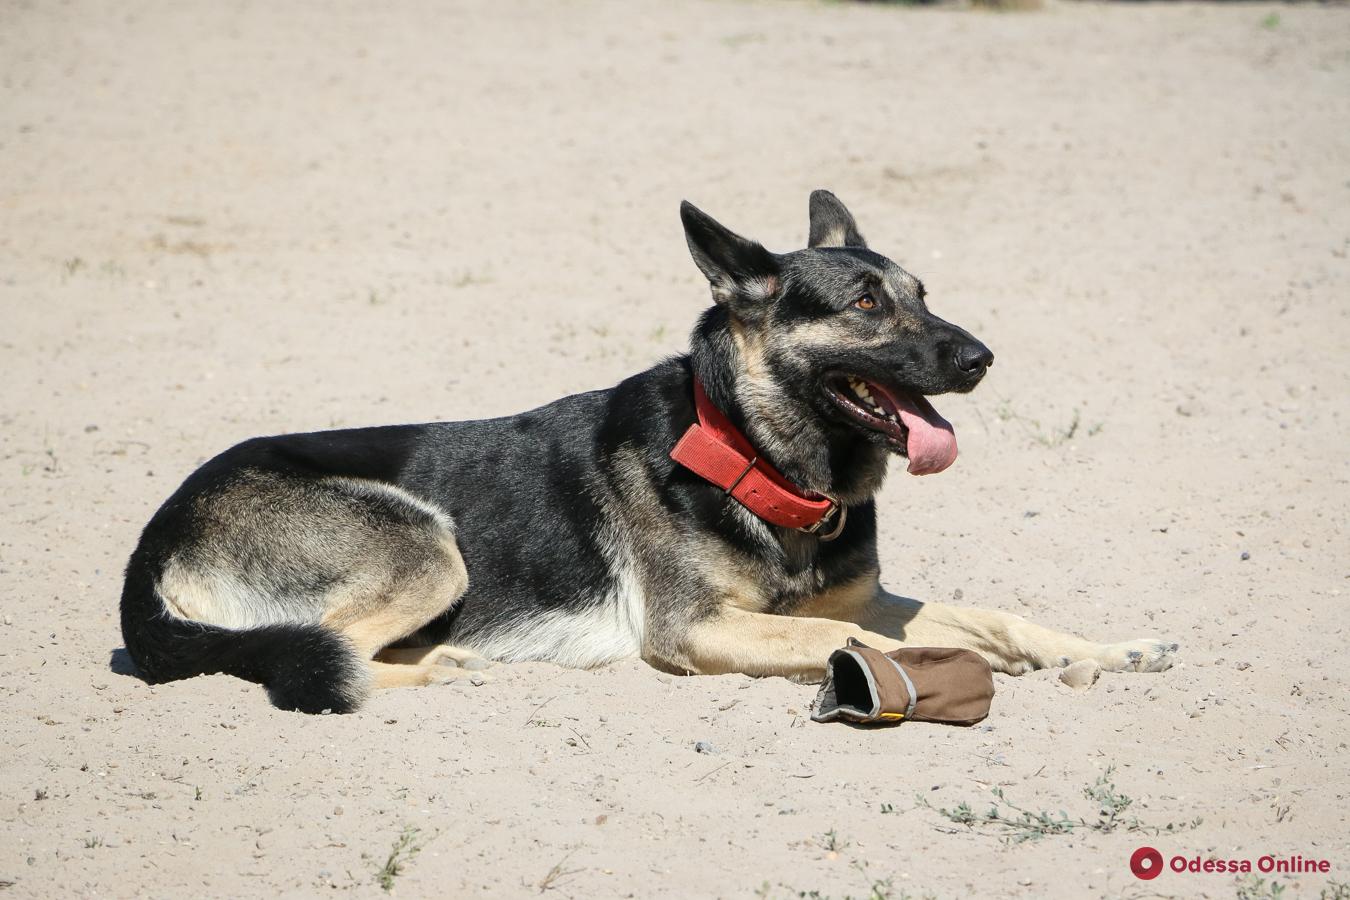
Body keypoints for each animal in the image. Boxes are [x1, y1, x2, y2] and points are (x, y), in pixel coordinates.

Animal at [118, 194, 1171, 712]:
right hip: (426, 544)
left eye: (923, 292)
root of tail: (153, 540)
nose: (983, 357)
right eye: (869, 304)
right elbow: (871, 644)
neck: (758, 461)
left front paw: (1105, 650)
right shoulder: (700, 629)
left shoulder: (855, 598)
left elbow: (992, 615)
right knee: (317, 651)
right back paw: (443, 673)